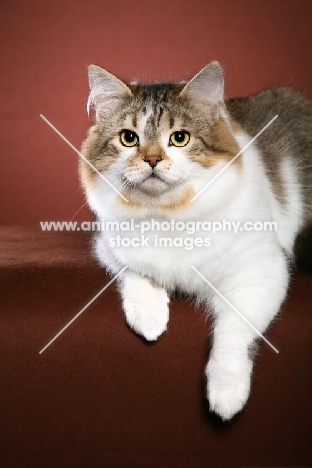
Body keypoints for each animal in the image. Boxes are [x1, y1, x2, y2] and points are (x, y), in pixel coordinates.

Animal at [80, 62, 312, 420]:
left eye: (179, 138)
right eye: (129, 138)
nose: (152, 160)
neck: (168, 215)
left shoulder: (262, 270)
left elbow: (232, 333)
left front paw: (226, 392)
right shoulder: (108, 246)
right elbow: (136, 273)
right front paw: (149, 318)